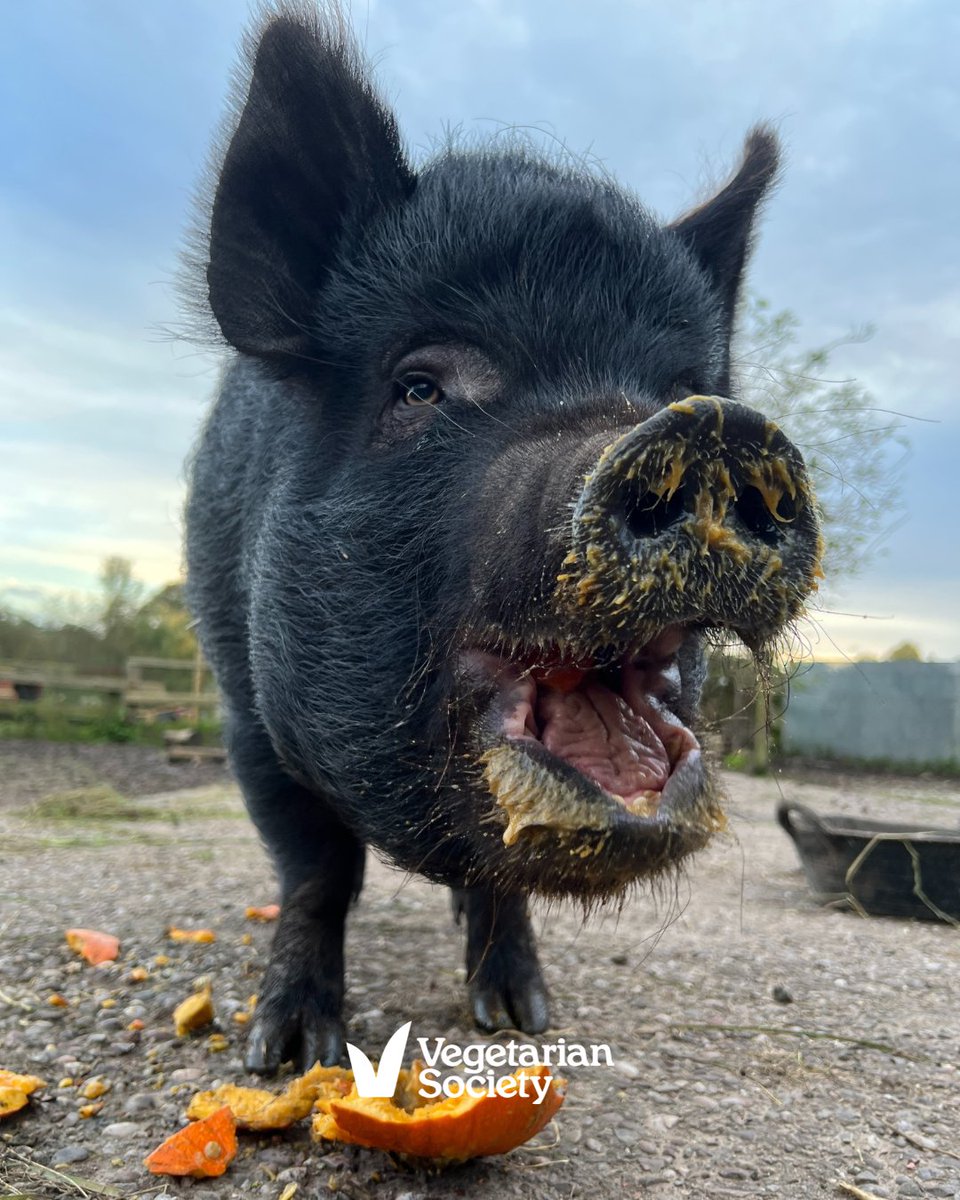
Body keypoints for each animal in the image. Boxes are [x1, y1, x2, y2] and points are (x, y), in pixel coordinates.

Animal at [184, 3, 823, 1073]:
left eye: (675, 387)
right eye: (419, 386)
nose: (708, 430)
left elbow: (502, 881)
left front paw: (523, 1020)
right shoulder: (248, 713)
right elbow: (316, 871)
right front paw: (289, 1055)